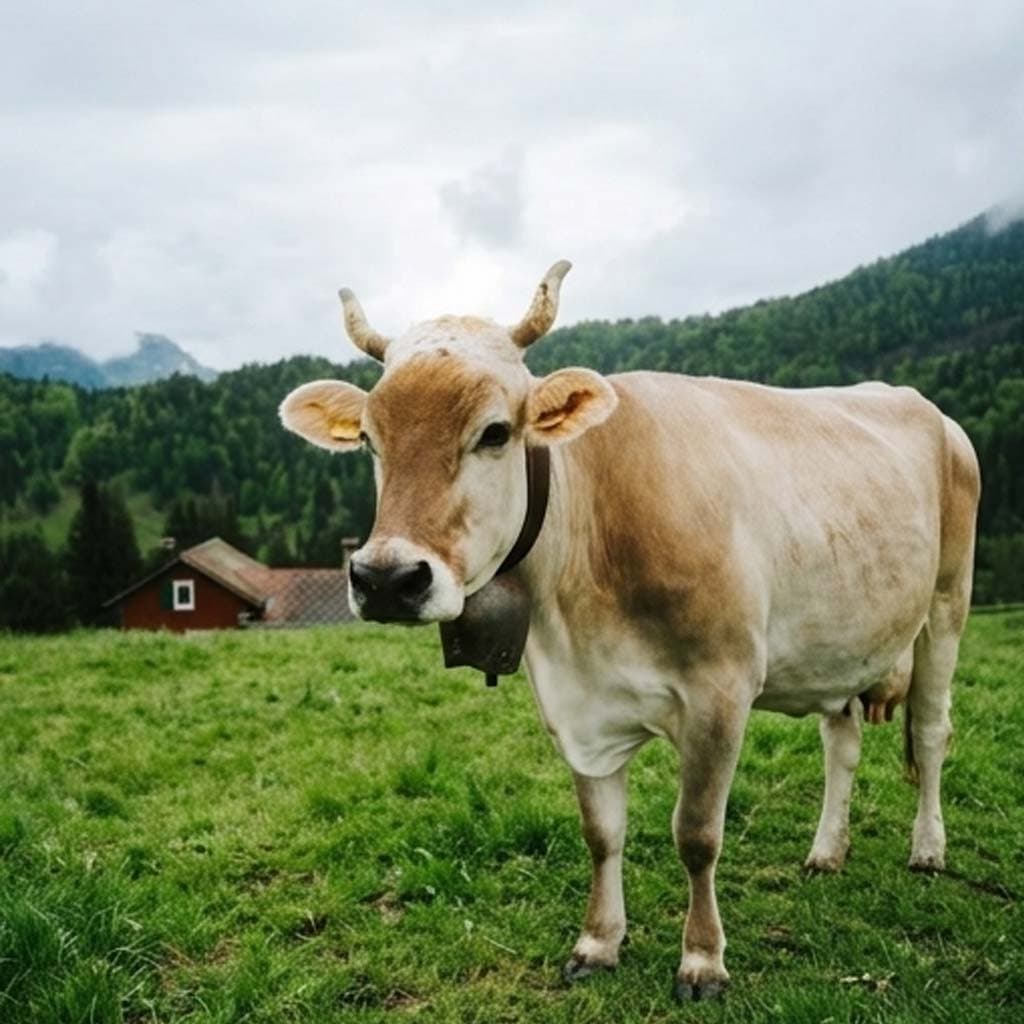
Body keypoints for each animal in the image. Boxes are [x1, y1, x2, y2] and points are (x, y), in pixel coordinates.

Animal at [279, 262, 980, 1001]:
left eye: (495, 432)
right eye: (369, 440)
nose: (386, 579)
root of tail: (925, 409)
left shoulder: (721, 691)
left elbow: (696, 835)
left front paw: (702, 960)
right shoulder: (575, 704)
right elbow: (601, 833)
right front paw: (597, 942)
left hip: (947, 602)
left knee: (933, 731)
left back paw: (928, 848)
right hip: (842, 642)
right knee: (840, 742)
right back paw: (826, 851)